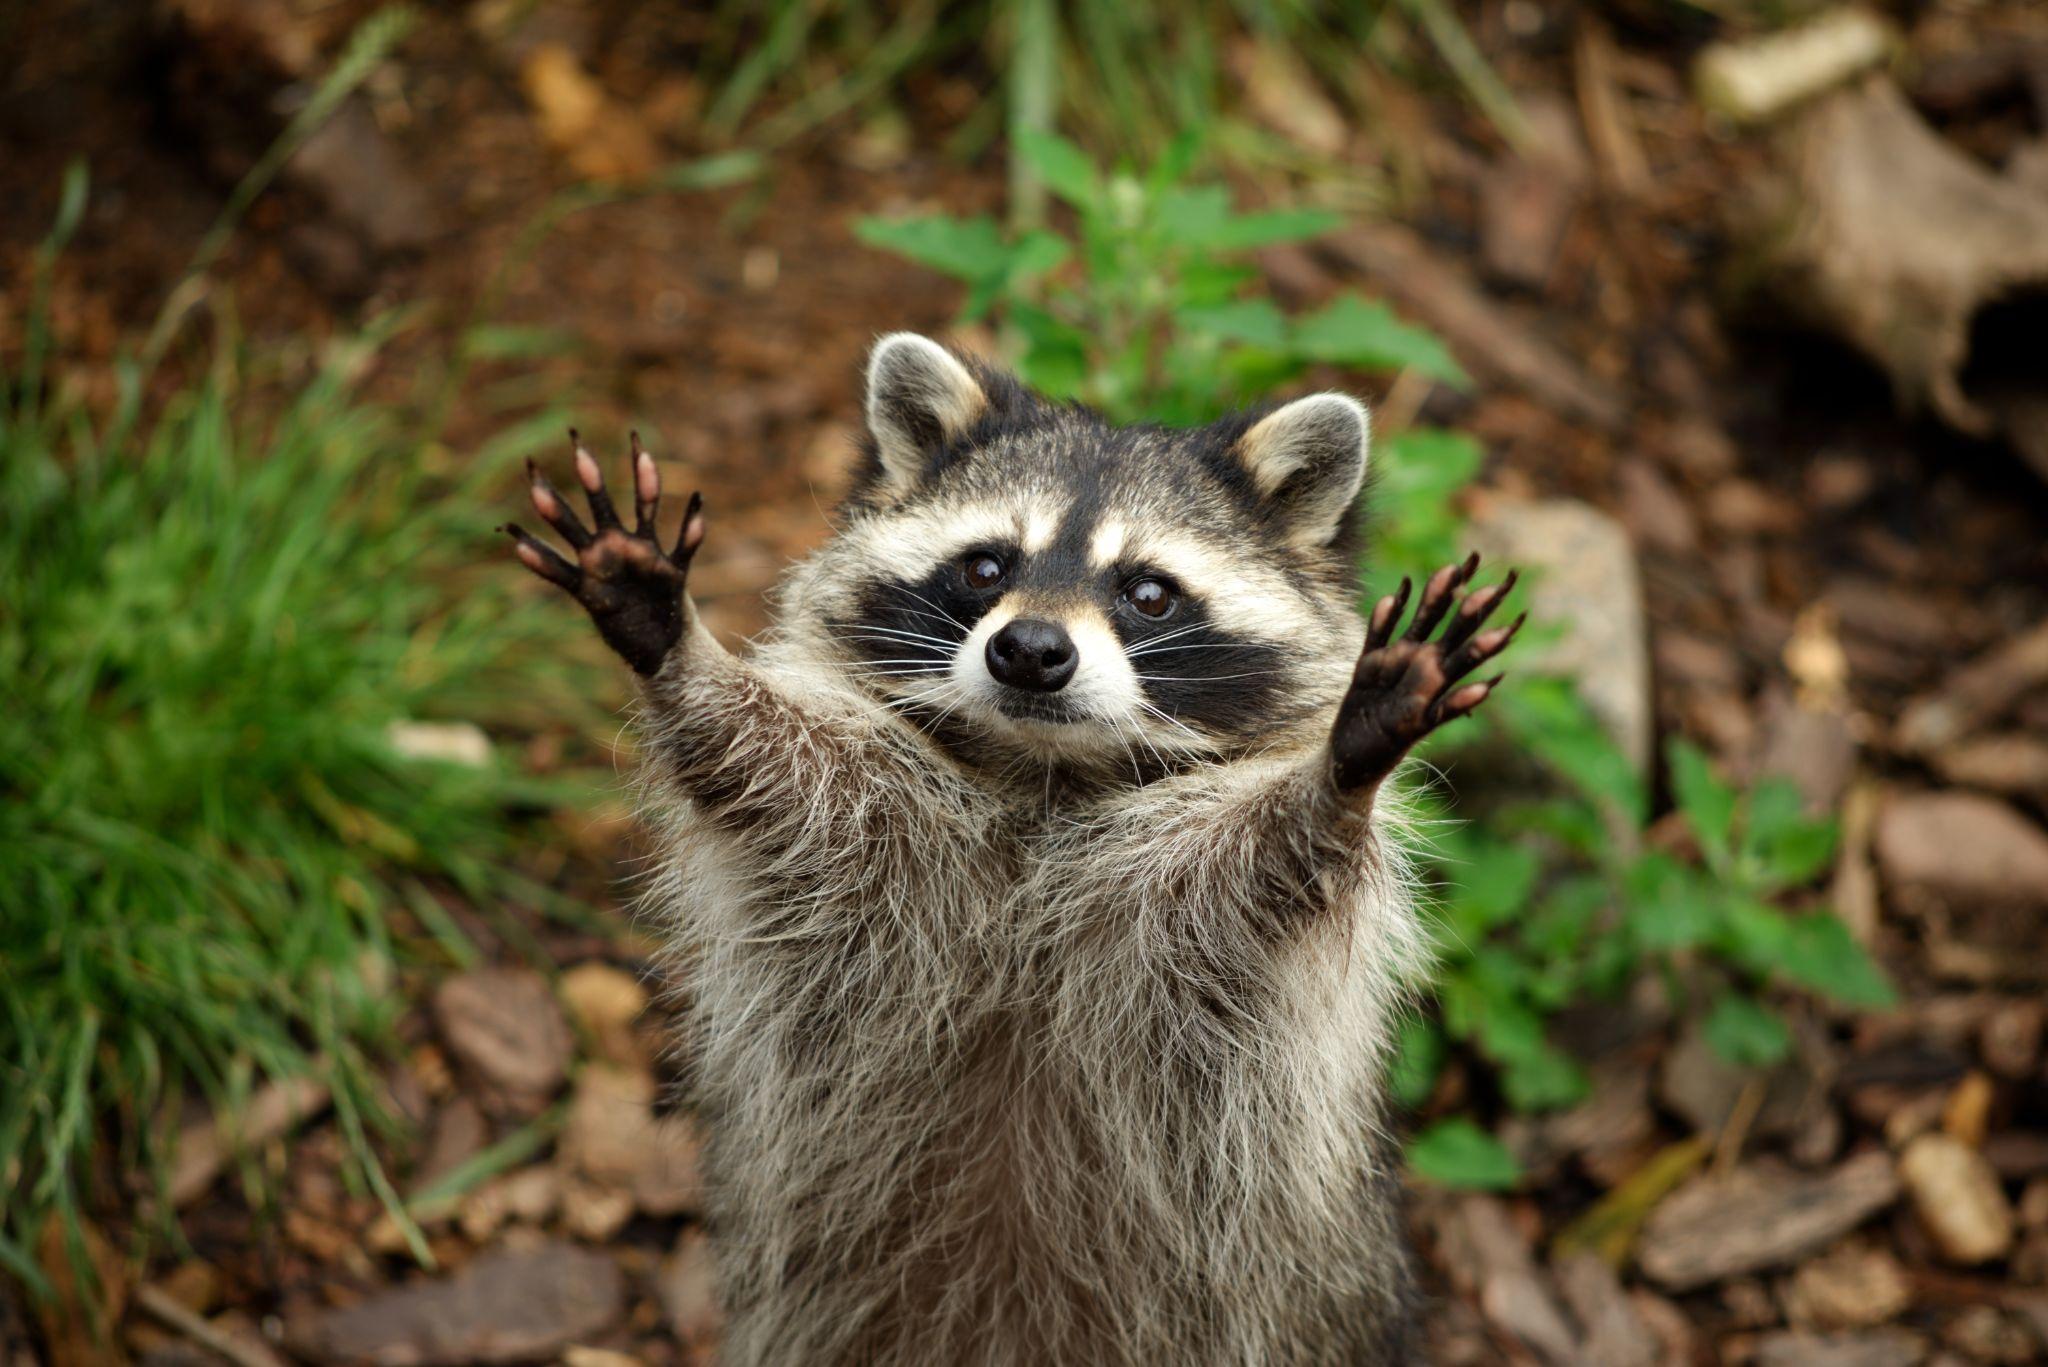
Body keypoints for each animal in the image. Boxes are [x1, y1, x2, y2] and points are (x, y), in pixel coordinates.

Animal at [503, 334, 1515, 1367]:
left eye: (1148, 592)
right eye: (987, 567)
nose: (1028, 648)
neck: (1044, 774)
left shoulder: (1189, 905)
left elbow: (1271, 866)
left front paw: (1341, 774)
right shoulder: (869, 824)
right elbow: (765, 766)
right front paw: (678, 652)